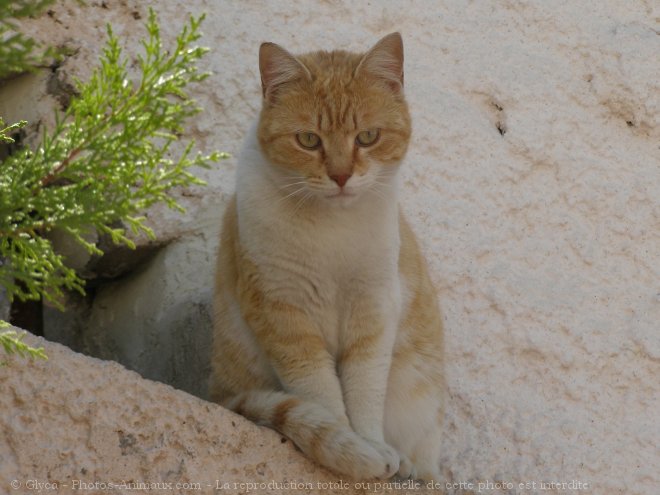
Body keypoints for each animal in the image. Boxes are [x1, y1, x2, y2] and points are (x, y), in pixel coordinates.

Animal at [209, 33, 446, 482]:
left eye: (367, 136)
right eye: (308, 140)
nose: (340, 176)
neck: (332, 231)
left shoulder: (373, 309)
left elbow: (365, 389)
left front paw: (372, 444)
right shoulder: (282, 312)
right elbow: (319, 393)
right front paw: (349, 450)